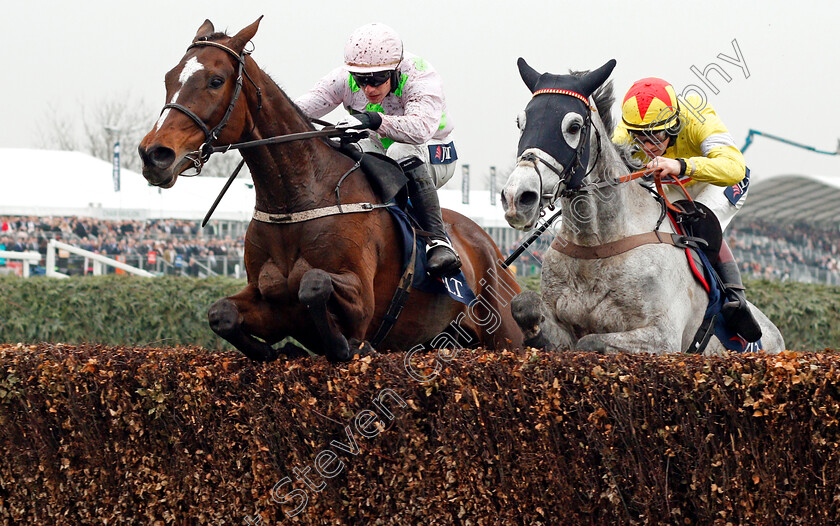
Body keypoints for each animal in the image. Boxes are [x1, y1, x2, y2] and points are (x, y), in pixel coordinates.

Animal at [139, 17, 520, 364]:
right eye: (168, 78)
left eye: (215, 81)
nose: (154, 154)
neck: (295, 200)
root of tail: (492, 249)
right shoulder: (269, 302)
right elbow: (222, 314)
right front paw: (277, 351)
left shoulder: (362, 300)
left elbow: (314, 285)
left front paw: (343, 346)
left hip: (504, 331)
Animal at [502, 57, 784, 356]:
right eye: (521, 122)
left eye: (574, 127)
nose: (518, 196)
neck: (596, 246)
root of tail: (776, 334)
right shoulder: (558, 325)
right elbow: (523, 305)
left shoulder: (663, 338)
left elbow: (589, 341)